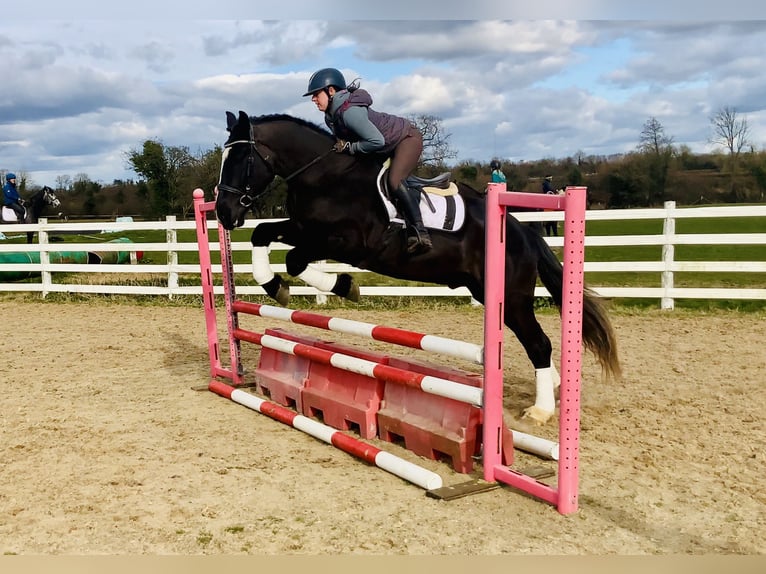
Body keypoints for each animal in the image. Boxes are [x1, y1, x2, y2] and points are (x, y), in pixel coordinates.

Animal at [216, 111, 624, 428]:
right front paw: (275, 286)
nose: (223, 213)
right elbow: (263, 234)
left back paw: (541, 410)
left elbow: (296, 260)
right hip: (493, 295)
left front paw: (344, 286)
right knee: (532, 342)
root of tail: (523, 231)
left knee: (539, 343)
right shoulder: (304, 229)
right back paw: (553, 384)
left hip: (511, 295)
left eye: (240, 159)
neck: (325, 176)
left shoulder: (348, 244)